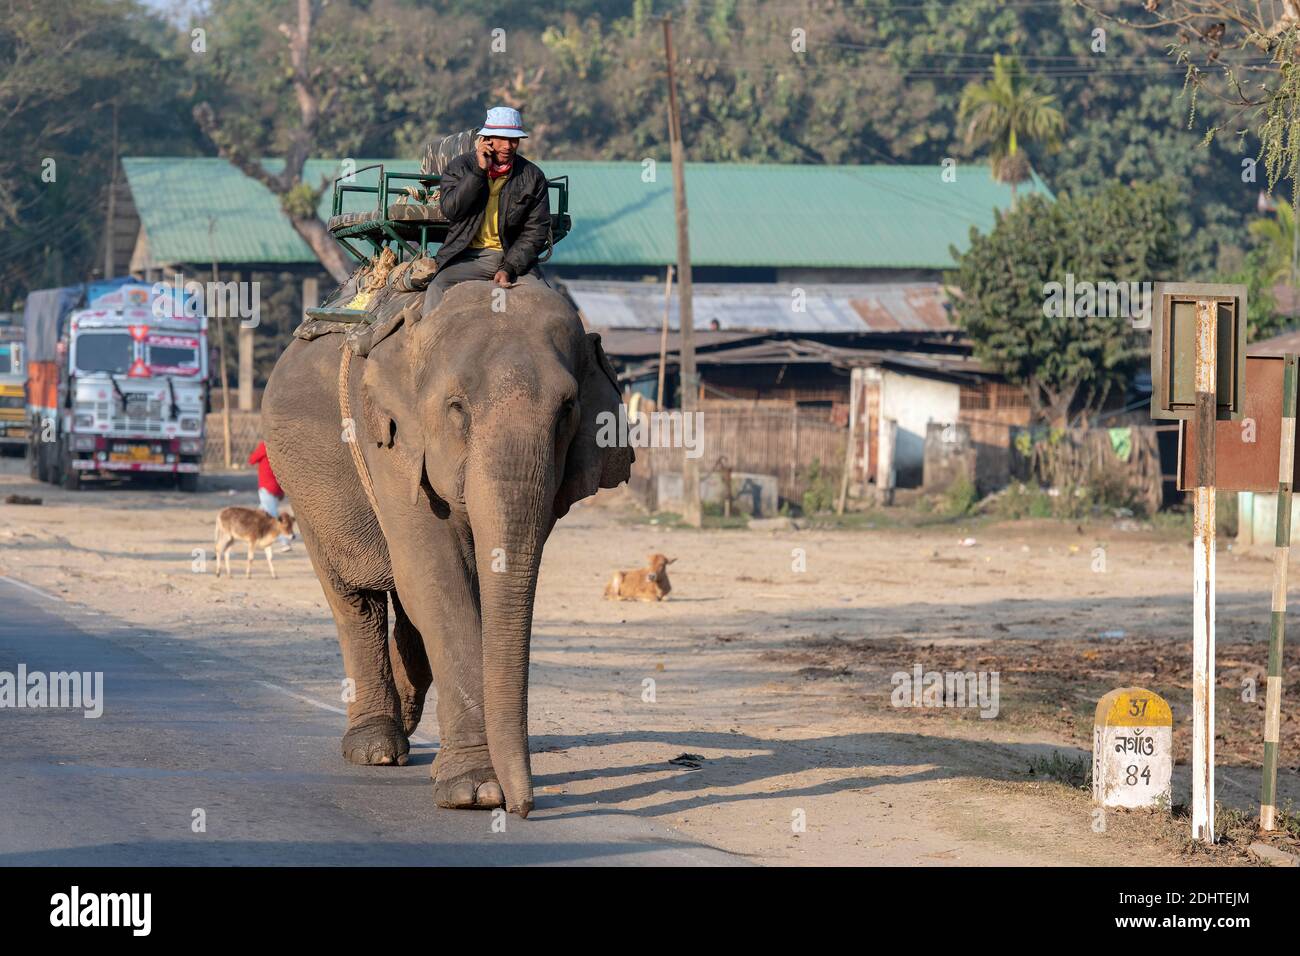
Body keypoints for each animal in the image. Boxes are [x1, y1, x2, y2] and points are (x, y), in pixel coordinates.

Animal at [261, 279, 632, 817]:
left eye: (567, 410)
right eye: (457, 408)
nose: (523, 809)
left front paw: (469, 782)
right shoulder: (390, 441)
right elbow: (436, 580)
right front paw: (475, 792)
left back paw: (406, 722)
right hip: (301, 487)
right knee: (355, 598)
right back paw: (376, 747)